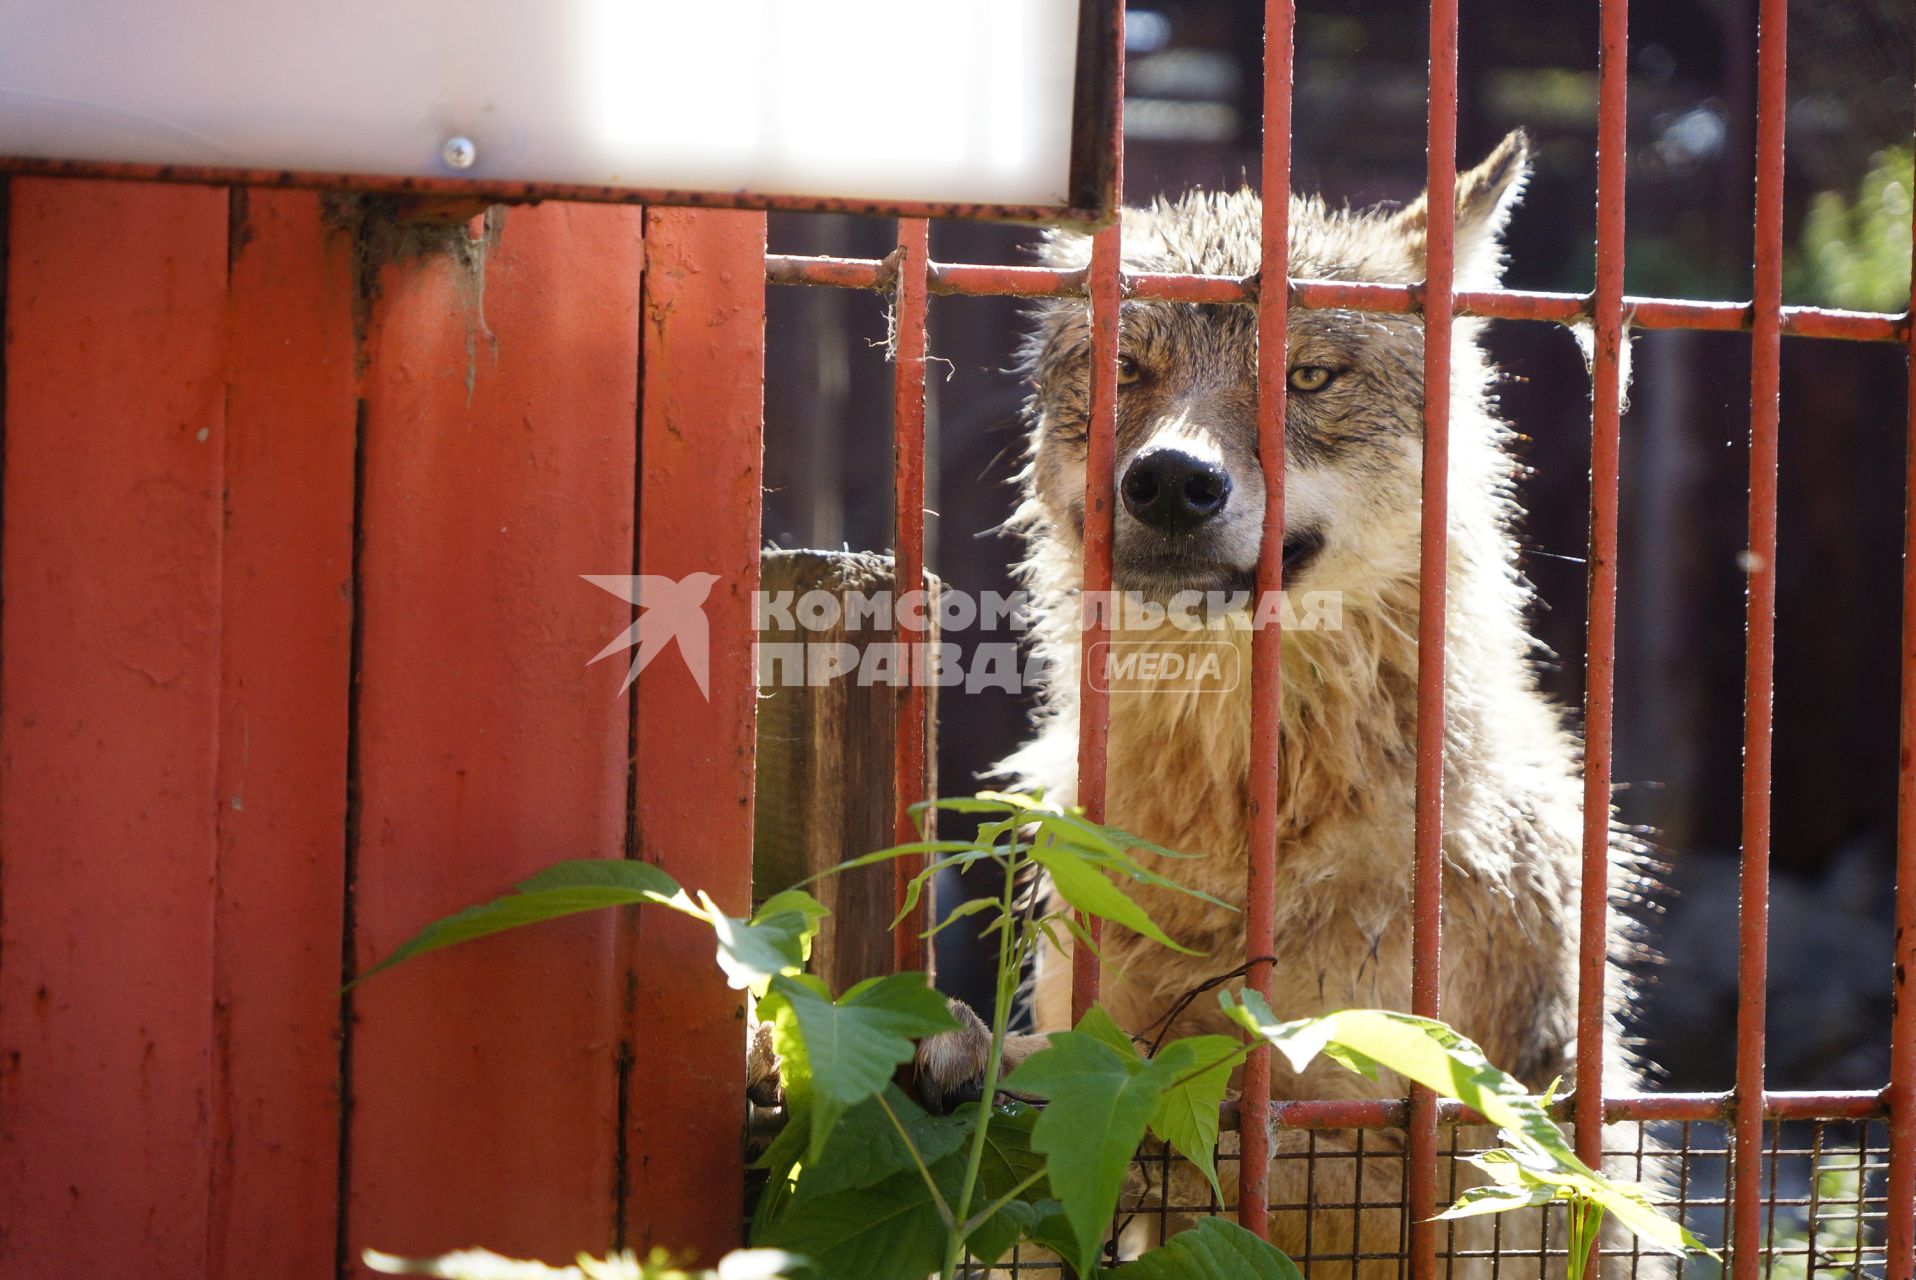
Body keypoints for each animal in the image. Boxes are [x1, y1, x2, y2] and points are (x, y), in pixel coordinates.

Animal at [915, 132, 1663, 1280]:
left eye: (1308, 375)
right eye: (1127, 368)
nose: (1172, 481)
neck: (1235, 820)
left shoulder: (1436, 1149)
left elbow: (1205, 1095)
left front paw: (1003, 1065)